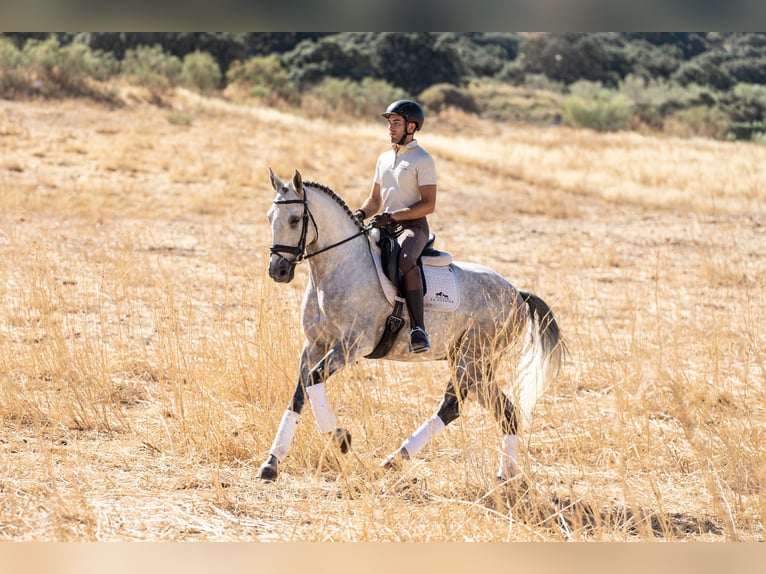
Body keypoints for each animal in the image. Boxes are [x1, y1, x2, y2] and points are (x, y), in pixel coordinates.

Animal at [258, 169, 564, 484]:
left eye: (295, 219)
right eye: (270, 217)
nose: (278, 270)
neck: (338, 267)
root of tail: (517, 293)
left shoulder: (352, 345)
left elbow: (314, 379)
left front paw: (340, 438)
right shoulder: (315, 344)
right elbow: (299, 393)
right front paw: (271, 463)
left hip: (472, 358)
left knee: (454, 406)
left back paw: (397, 459)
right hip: (474, 364)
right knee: (504, 412)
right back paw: (503, 475)